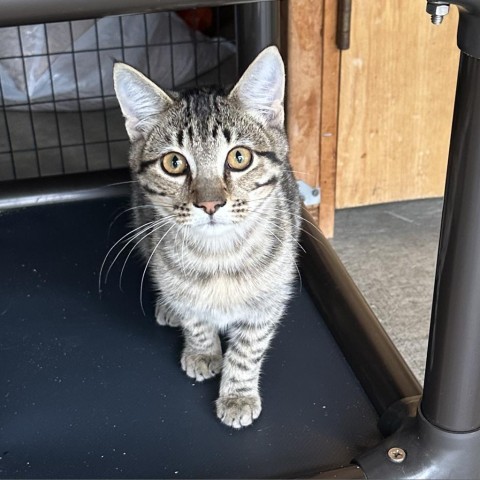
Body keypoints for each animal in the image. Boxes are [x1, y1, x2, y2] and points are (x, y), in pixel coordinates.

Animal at [112, 46, 300, 428]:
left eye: (239, 157)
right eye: (173, 163)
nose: (210, 203)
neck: (218, 255)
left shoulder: (269, 302)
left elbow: (248, 349)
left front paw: (238, 394)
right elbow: (194, 318)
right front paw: (202, 351)